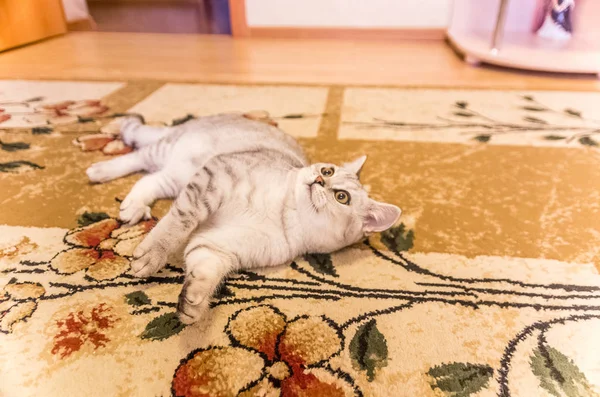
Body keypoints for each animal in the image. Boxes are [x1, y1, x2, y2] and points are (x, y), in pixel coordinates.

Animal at [85, 113, 404, 324]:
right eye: (327, 171)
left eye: (342, 197)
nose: (318, 180)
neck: (285, 213)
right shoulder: (214, 178)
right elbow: (177, 224)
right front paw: (152, 255)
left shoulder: (217, 244)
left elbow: (204, 270)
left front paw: (193, 303)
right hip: (172, 156)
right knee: (137, 155)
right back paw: (100, 171)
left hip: (175, 178)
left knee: (149, 179)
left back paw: (133, 206)